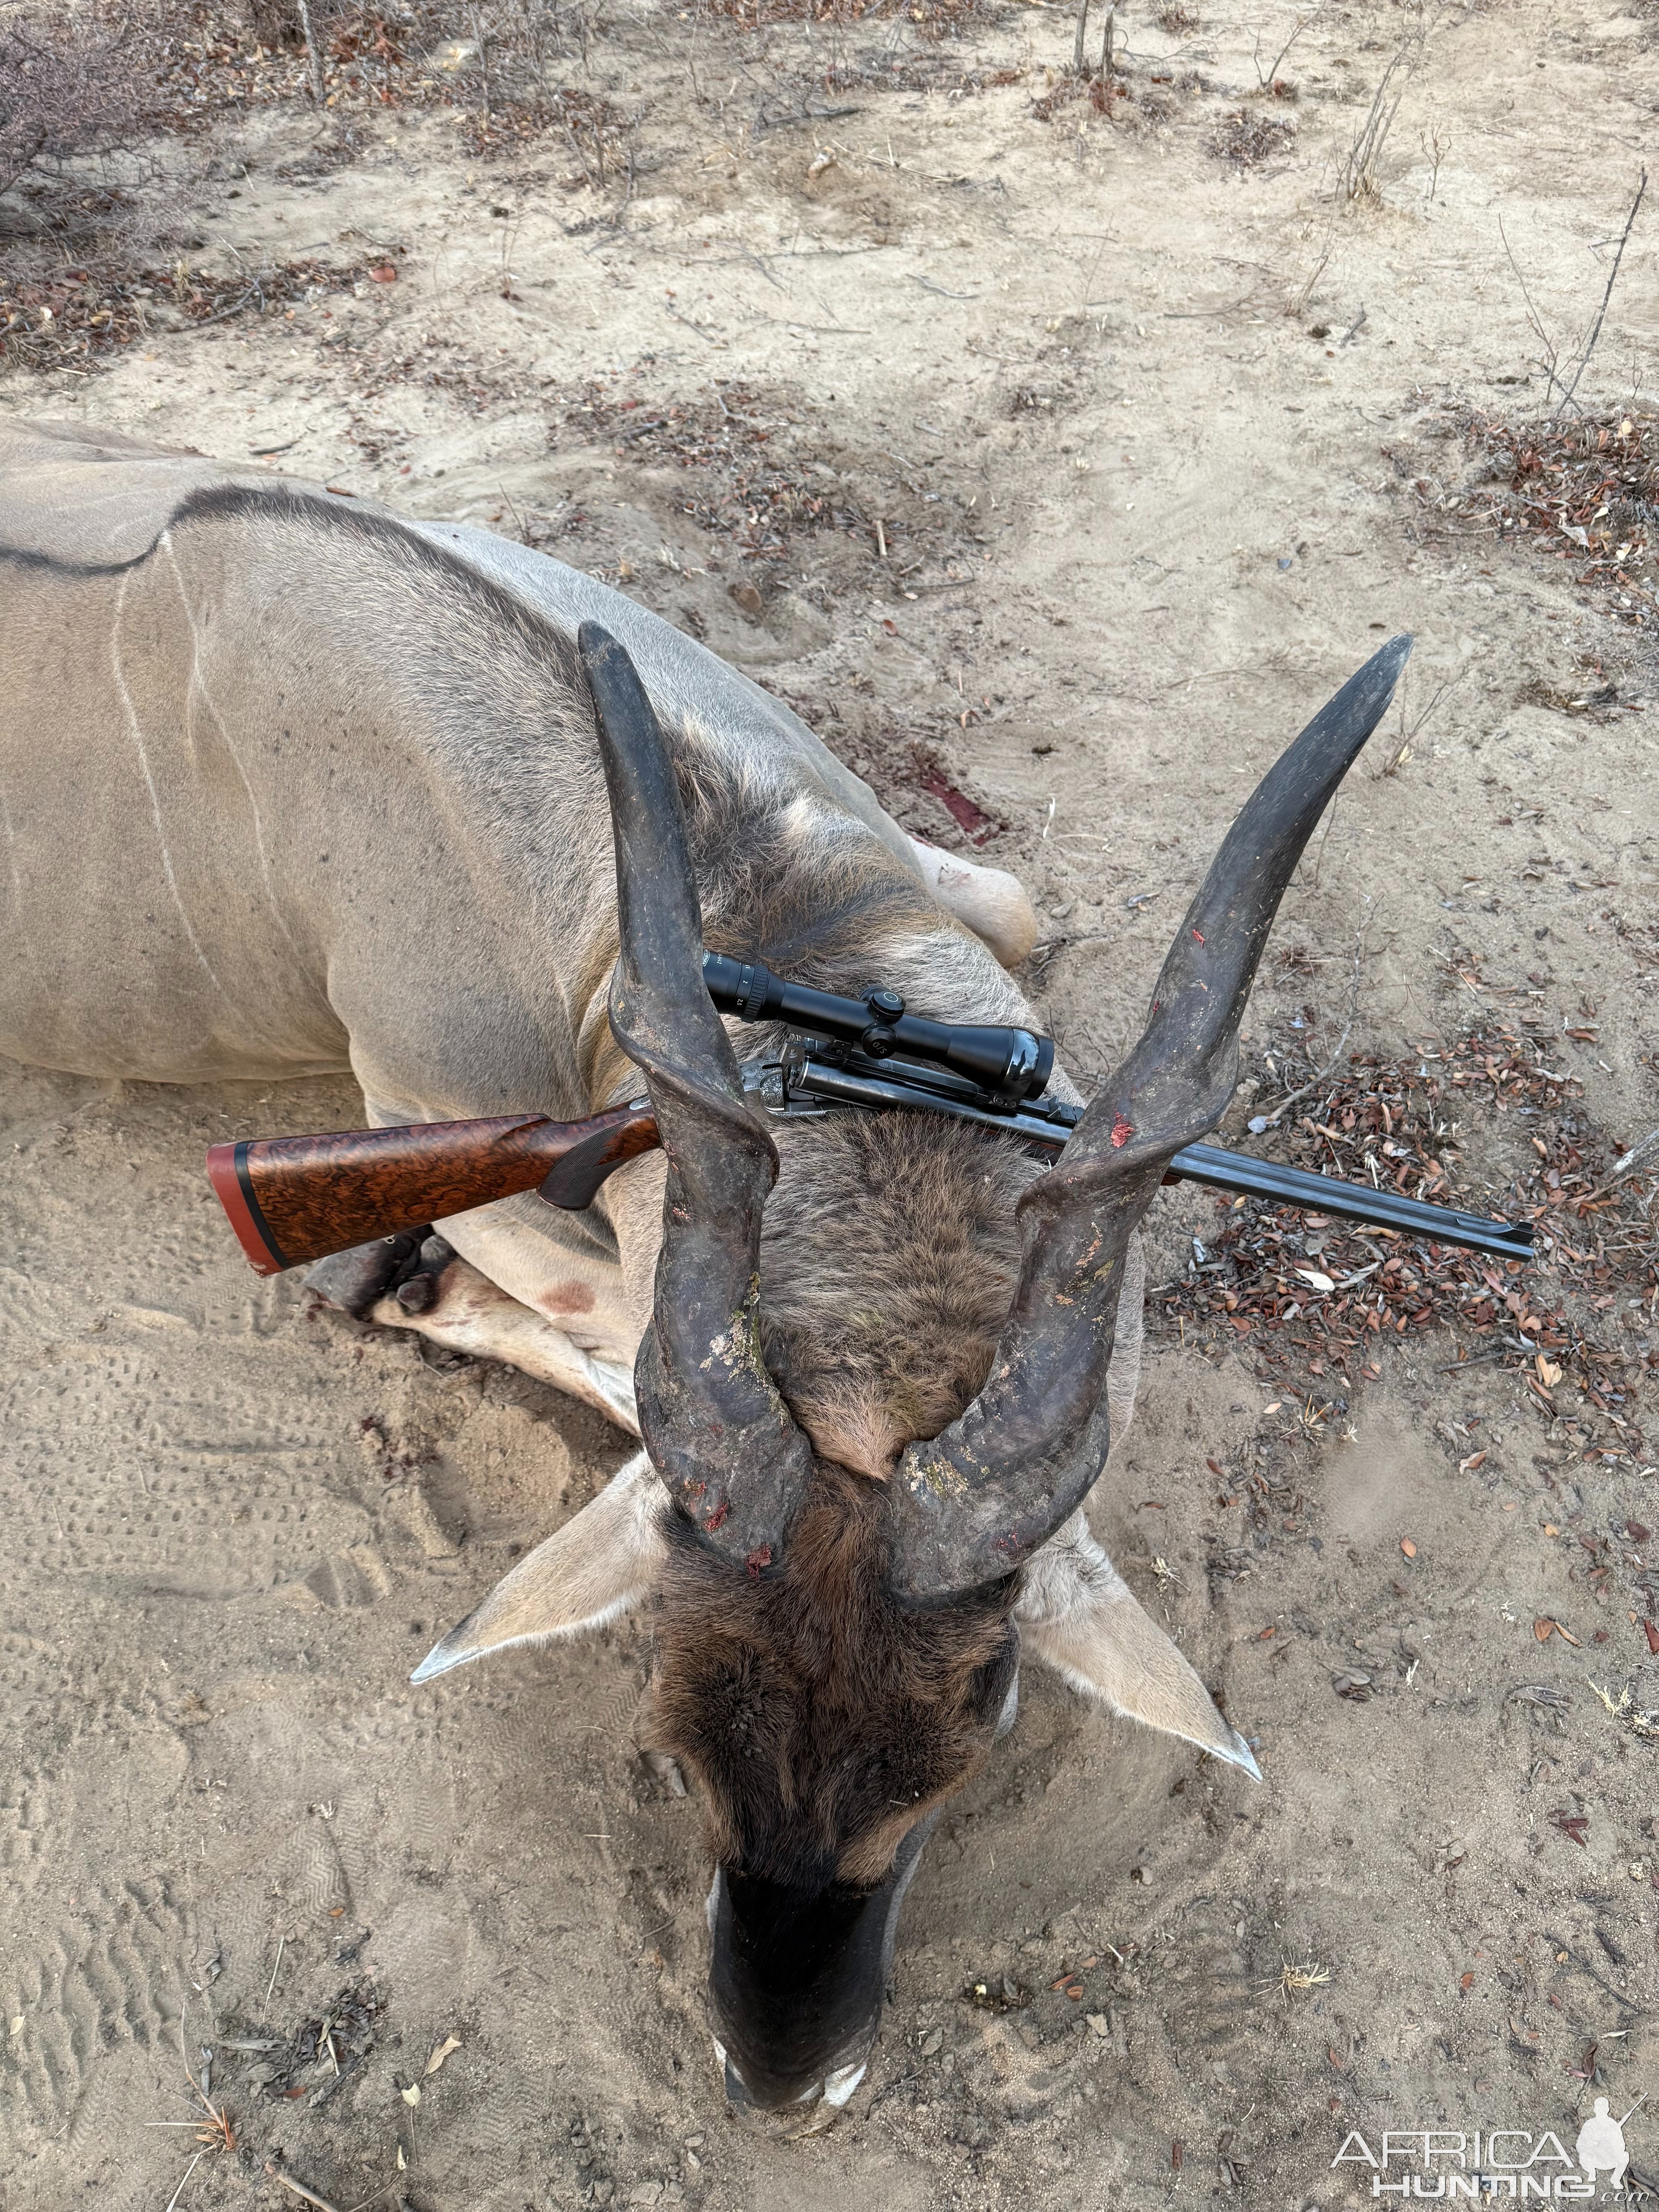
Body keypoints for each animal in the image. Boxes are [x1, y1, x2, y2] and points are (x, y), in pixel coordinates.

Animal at [0, 416, 1407, 2123]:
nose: (785, 2082)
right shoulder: (425, 1117)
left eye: (977, 1732)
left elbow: (1017, 898)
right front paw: (398, 1284)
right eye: (666, 1742)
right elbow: (593, 1325)